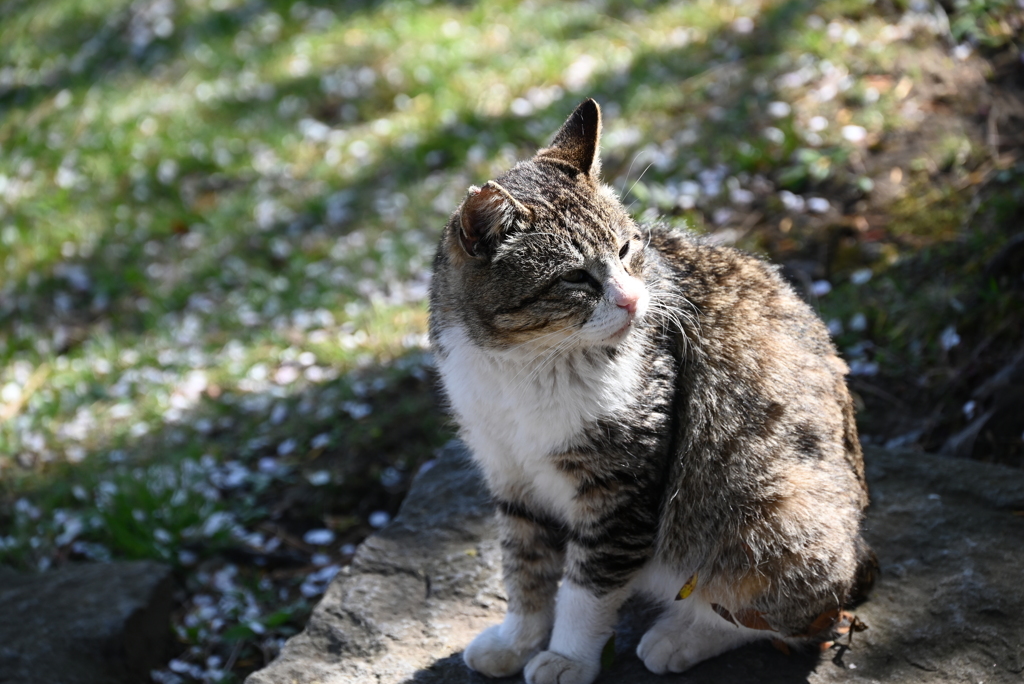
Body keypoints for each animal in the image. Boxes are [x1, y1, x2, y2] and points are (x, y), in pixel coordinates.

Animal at [428, 100, 876, 684]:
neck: (526, 364)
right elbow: (524, 569)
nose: (633, 300)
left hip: (775, 510)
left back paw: (683, 636)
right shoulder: (509, 473)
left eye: (625, 249)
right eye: (576, 278)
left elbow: (587, 586)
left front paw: (568, 657)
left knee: (792, 615)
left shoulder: (621, 487)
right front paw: (517, 639)